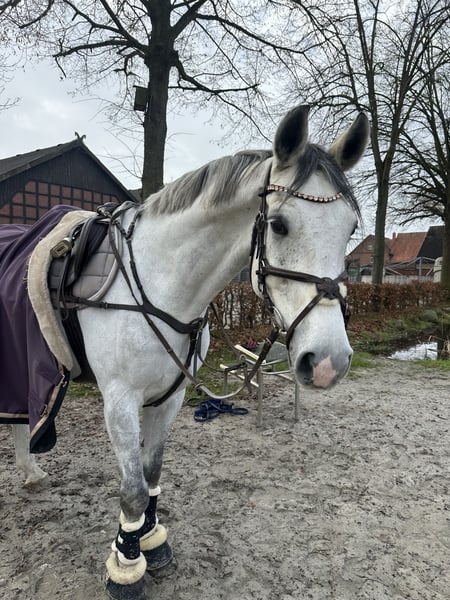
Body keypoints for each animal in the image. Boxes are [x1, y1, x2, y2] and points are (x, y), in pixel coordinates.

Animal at [7, 104, 369, 599]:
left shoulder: (170, 395)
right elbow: (133, 490)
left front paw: (152, 543)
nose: (329, 361)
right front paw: (125, 567)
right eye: (279, 224)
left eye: (349, 229)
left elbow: (153, 474)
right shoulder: (119, 400)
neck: (160, 282)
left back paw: (30, 472)